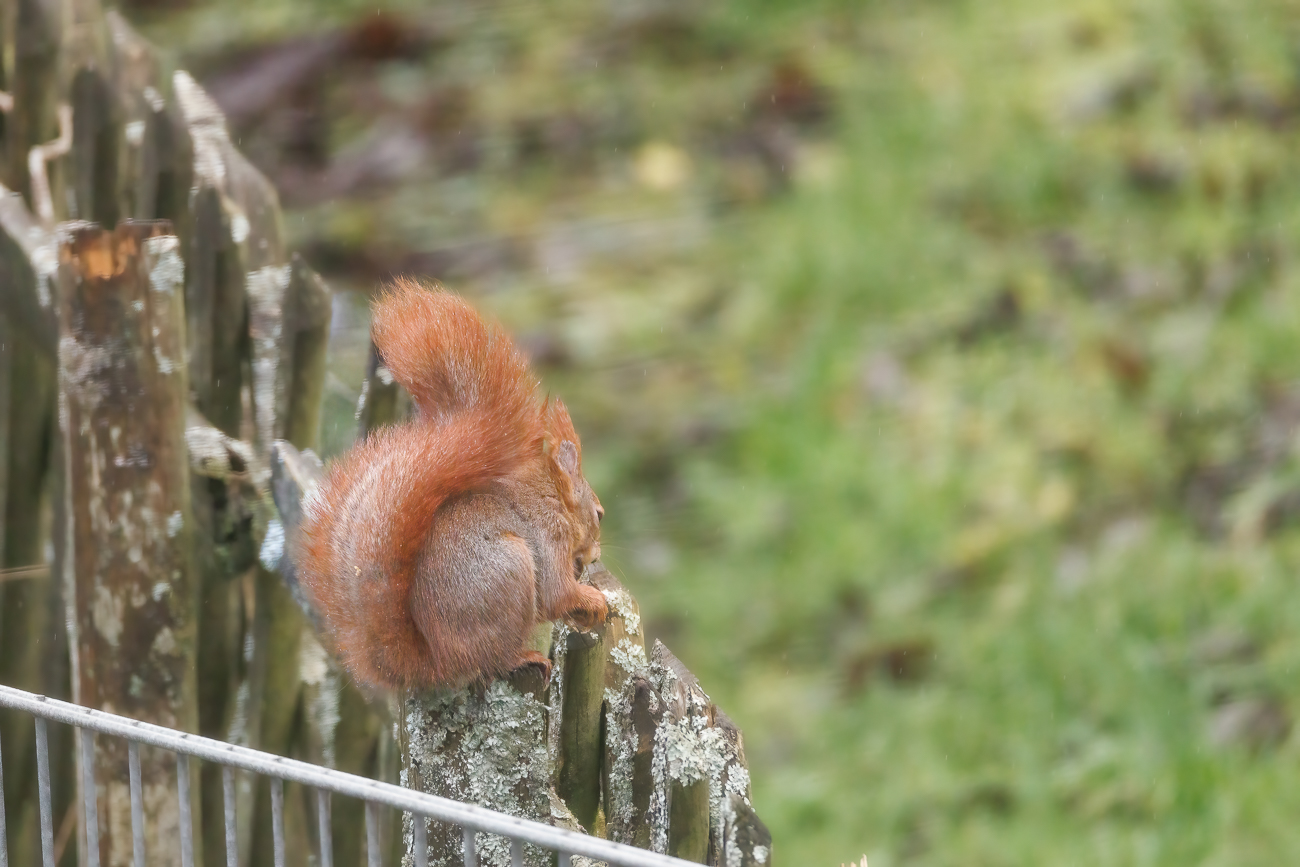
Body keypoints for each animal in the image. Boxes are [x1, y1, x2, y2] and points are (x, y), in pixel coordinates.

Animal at [296, 279, 608, 692]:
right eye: (600, 515)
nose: (596, 556)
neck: (551, 497)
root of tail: (435, 661)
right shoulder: (550, 535)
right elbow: (558, 593)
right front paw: (594, 600)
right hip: (508, 572)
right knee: (493, 659)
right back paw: (522, 657)